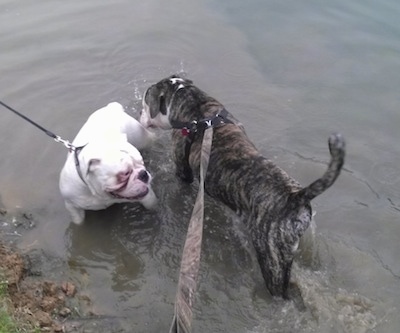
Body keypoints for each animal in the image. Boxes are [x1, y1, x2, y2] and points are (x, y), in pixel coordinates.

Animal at [139, 74, 346, 296]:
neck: (195, 106)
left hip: (271, 257)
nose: (140, 115)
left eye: (145, 102)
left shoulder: (182, 168)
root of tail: (295, 197)